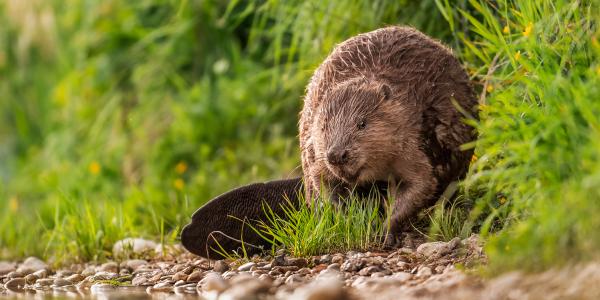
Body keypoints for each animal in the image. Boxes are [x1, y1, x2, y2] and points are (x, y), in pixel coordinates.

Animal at [300, 25, 478, 237]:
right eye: (324, 125)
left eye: (362, 123)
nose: (337, 155)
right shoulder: (317, 157)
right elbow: (322, 181)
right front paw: (349, 217)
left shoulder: (411, 143)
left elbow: (422, 183)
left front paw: (386, 230)